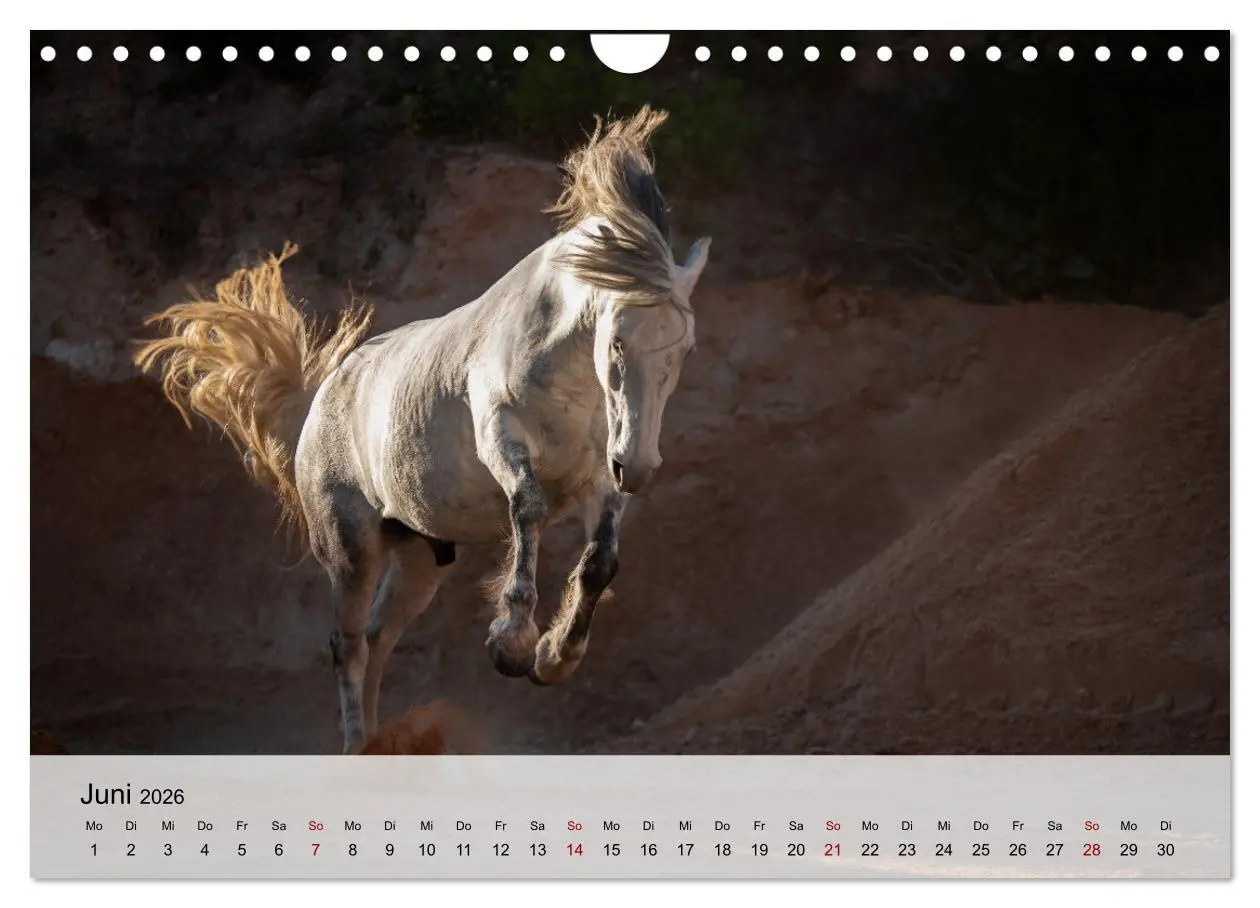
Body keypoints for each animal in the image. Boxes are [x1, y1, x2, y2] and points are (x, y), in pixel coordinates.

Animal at [133, 106, 711, 754]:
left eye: (685, 349)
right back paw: (355, 744)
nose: (639, 465)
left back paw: (379, 743)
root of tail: (322, 397)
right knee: (347, 644)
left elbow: (599, 563)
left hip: (417, 557)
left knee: (379, 636)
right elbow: (529, 510)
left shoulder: (598, 481)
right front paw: (511, 643)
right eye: (615, 342)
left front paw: (554, 658)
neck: (566, 377)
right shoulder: (502, 440)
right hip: (350, 548)